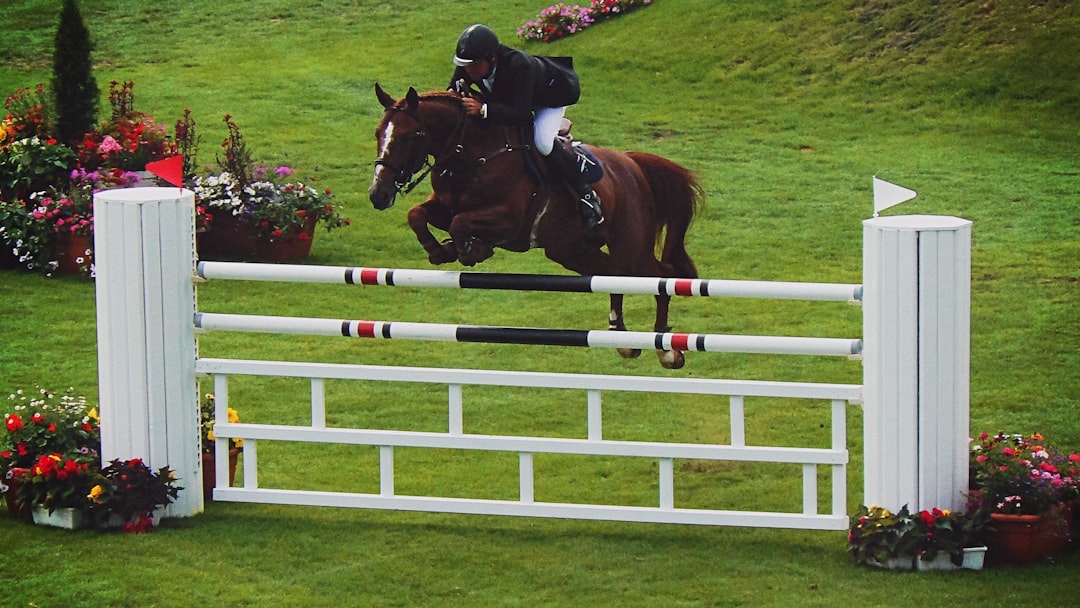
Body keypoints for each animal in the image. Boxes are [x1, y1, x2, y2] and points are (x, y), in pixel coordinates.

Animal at [369, 84, 708, 371]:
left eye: (409, 136)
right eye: (378, 133)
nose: (378, 195)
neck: (472, 152)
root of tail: (632, 163)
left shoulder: (510, 218)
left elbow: (459, 223)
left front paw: (468, 250)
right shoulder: (443, 205)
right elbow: (418, 214)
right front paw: (441, 251)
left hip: (630, 246)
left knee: (659, 275)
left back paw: (667, 349)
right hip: (571, 251)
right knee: (613, 275)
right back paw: (620, 335)